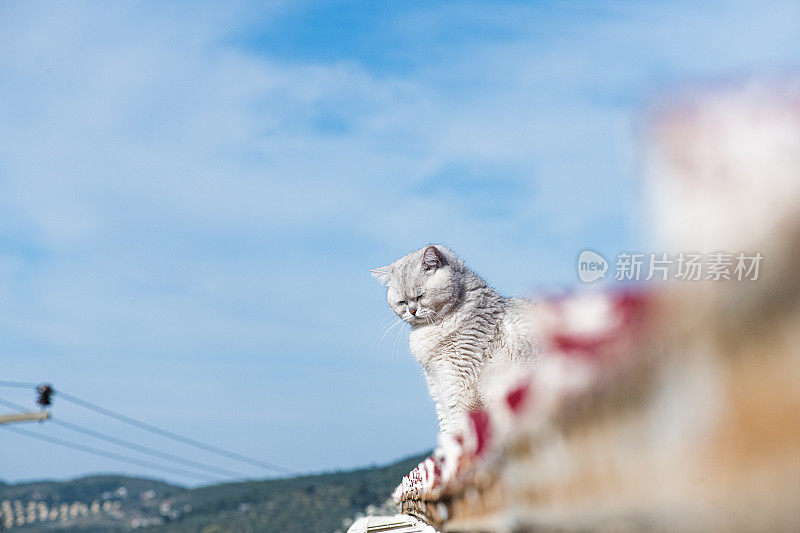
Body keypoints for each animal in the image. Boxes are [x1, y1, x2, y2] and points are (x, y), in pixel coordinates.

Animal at [374, 245, 536, 436]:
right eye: (402, 302)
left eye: (420, 296)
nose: (412, 311)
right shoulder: (439, 390)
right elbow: (446, 432)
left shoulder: (458, 389)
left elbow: (458, 433)